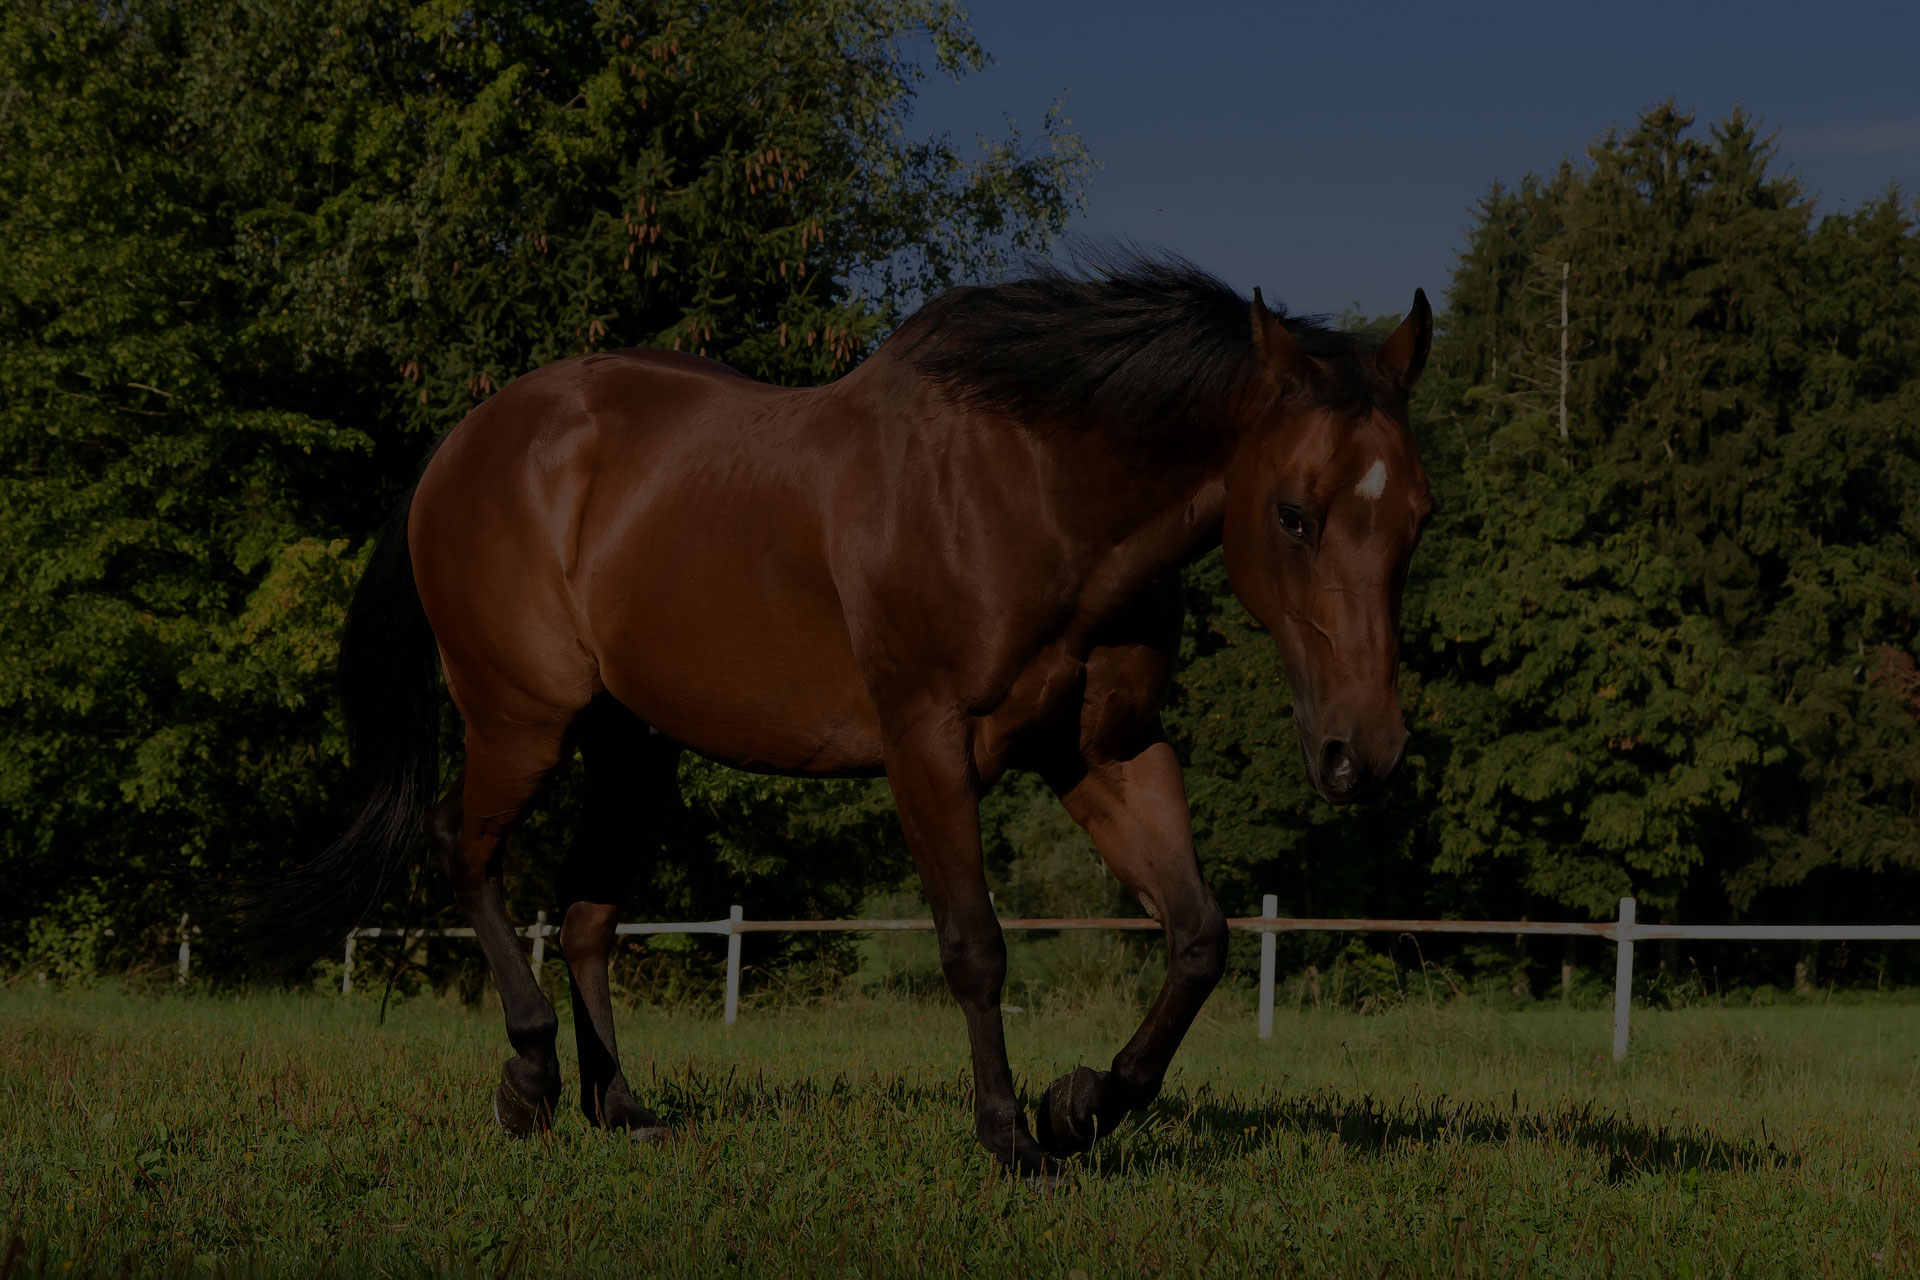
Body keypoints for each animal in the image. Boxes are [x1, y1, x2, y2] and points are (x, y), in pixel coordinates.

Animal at [271, 254, 1434, 1175]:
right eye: (1294, 512)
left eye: (1419, 516)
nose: (1364, 755)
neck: (1034, 491)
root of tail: (463, 444)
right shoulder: (927, 744)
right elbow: (975, 945)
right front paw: (1010, 1135)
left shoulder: (1110, 752)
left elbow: (1197, 938)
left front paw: (1080, 1108)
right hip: (523, 720)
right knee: (464, 853)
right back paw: (528, 1077)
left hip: (633, 746)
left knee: (588, 916)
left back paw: (625, 1107)